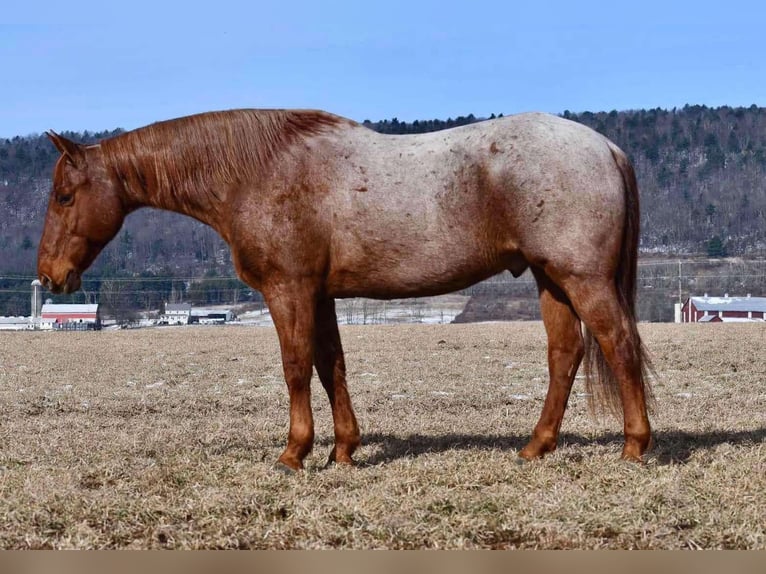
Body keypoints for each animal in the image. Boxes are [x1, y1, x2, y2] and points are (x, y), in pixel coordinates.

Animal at [37, 108, 656, 472]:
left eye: (65, 196)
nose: (48, 274)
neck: (259, 172)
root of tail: (606, 148)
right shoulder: (321, 295)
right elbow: (330, 364)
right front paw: (344, 450)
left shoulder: (288, 289)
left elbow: (295, 365)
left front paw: (294, 452)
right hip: (551, 280)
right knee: (565, 354)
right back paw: (536, 446)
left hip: (581, 278)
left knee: (619, 345)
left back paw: (634, 446)